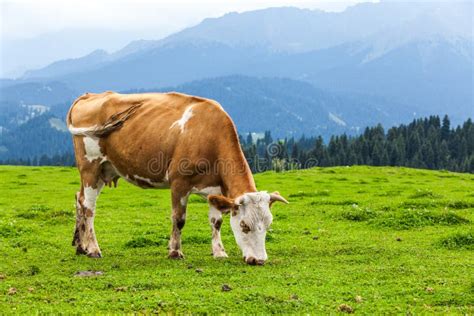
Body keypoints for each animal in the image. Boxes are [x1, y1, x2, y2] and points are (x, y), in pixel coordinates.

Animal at [66, 90, 288, 264]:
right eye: (244, 225)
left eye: (268, 225)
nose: (259, 260)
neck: (209, 135)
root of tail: (89, 95)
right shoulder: (179, 182)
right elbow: (179, 219)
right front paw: (175, 251)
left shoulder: (215, 189)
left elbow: (216, 222)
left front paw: (219, 252)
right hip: (90, 167)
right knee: (89, 207)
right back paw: (93, 249)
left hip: (104, 170)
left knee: (79, 199)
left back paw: (80, 246)